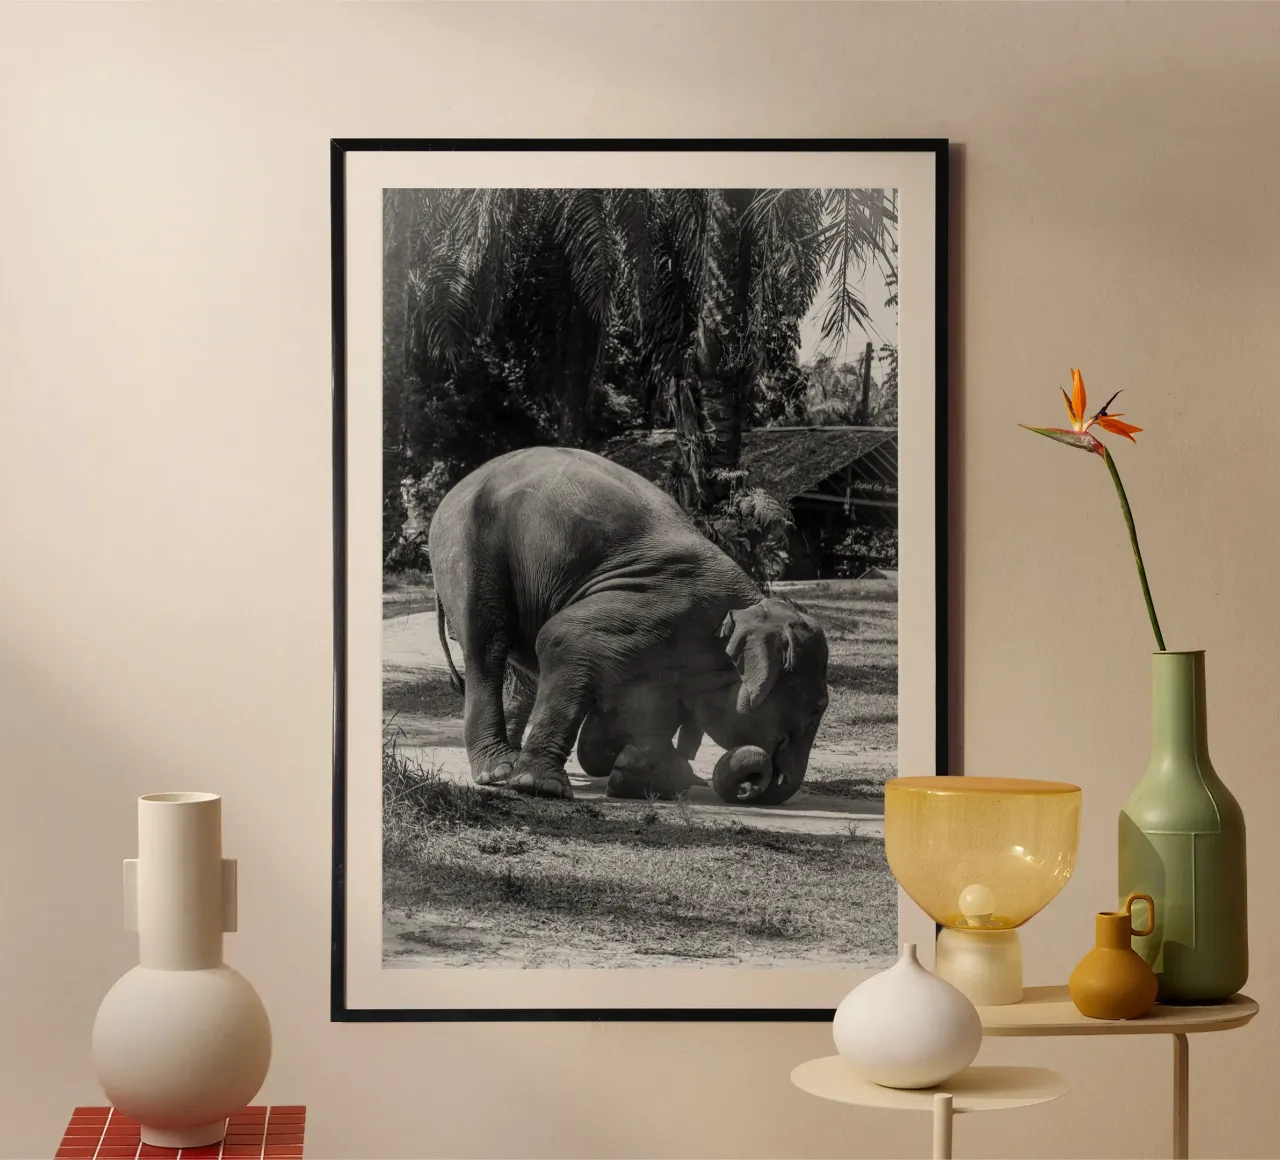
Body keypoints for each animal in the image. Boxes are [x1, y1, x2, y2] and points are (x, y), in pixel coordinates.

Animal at [428, 445, 829, 804]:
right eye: (815, 710)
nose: (752, 787)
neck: (748, 605)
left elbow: (638, 706)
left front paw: (637, 771)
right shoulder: (658, 606)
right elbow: (561, 638)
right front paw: (542, 787)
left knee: (523, 676)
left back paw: (508, 765)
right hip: (469, 551)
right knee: (487, 648)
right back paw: (498, 770)